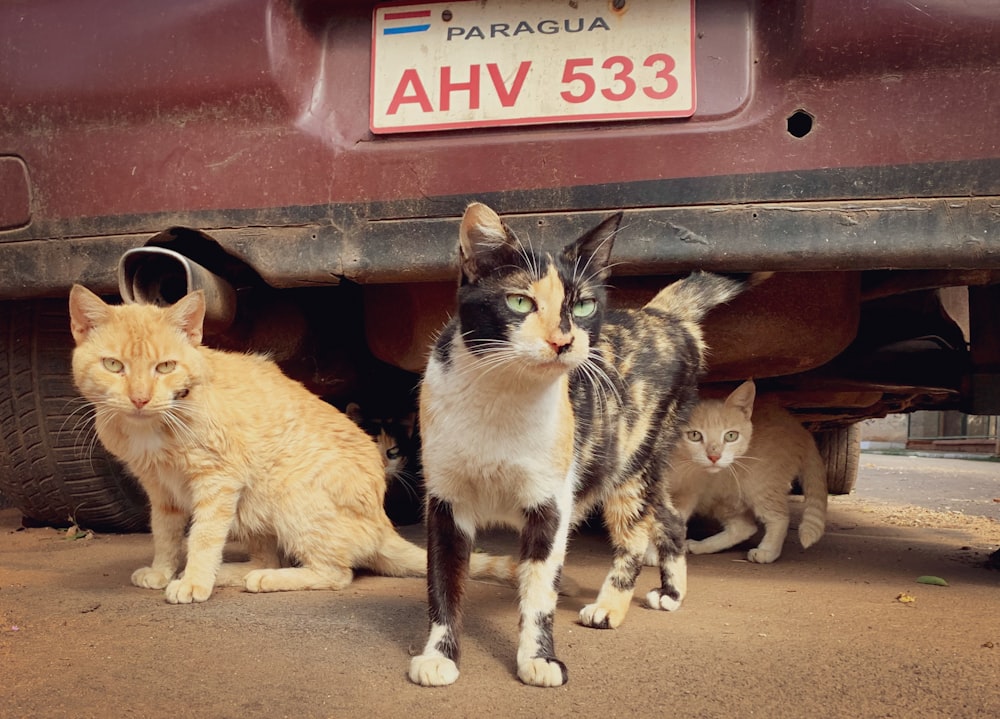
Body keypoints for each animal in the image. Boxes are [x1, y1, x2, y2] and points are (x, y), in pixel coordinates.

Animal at [66, 284, 512, 604]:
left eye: (165, 367)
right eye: (113, 366)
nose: (140, 398)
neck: (156, 424)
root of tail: (381, 522)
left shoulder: (218, 481)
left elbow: (205, 536)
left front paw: (193, 581)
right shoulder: (161, 492)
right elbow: (165, 535)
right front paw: (163, 571)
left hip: (288, 494)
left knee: (335, 573)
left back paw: (260, 578)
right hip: (252, 507)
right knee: (268, 553)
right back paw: (234, 572)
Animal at [410, 205, 752, 688]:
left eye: (585, 305)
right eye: (519, 301)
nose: (563, 340)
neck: (501, 400)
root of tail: (662, 316)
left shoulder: (551, 502)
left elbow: (539, 591)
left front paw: (538, 659)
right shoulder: (445, 500)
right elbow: (443, 580)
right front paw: (438, 656)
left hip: (634, 461)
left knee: (635, 534)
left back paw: (610, 607)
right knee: (670, 519)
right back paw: (671, 593)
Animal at [664, 380, 828, 564]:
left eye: (731, 436)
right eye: (694, 435)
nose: (714, 456)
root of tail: (801, 429)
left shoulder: (688, 491)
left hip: (760, 485)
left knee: (779, 517)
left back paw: (767, 551)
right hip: (724, 496)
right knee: (744, 528)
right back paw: (701, 546)